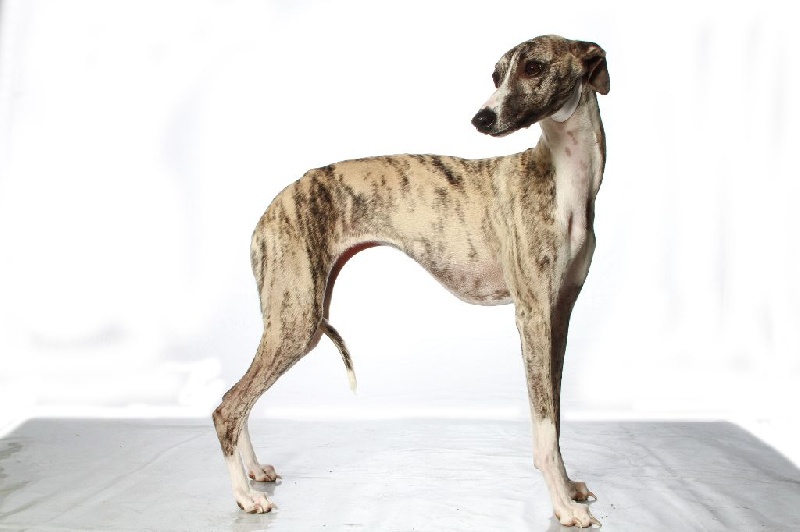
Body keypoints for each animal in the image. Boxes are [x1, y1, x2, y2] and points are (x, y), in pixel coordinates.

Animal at [213, 34, 609, 528]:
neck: (564, 180)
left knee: (241, 398)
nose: (481, 118)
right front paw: (562, 505)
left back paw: (253, 472)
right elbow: (543, 425)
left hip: (291, 316)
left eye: (533, 67)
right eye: (496, 74)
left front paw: (569, 488)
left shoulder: (559, 313)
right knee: (228, 406)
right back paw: (245, 497)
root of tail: (268, 212)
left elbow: (554, 415)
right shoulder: (532, 314)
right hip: (297, 321)